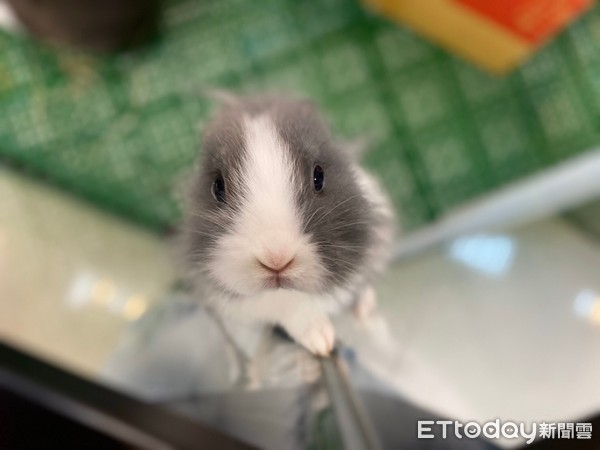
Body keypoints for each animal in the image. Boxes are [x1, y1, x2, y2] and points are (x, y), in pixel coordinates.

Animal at [180, 93, 396, 356]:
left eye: (318, 176)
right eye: (217, 187)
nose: (276, 259)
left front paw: (325, 340)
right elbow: (289, 309)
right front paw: (321, 341)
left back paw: (365, 310)